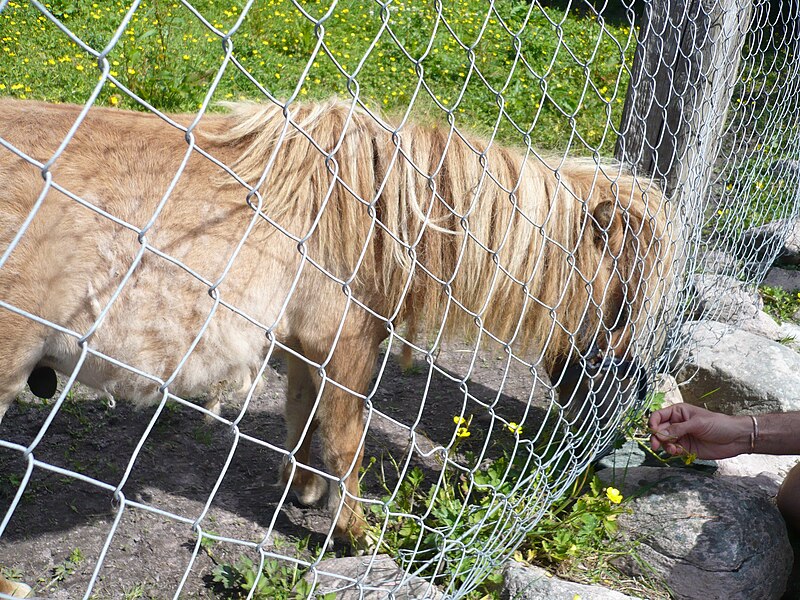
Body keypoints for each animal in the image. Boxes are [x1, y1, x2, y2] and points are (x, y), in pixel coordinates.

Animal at [0, 96, 676, 548]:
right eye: (623, 301)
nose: (632, 393)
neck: (376, 213)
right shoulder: (345, 343)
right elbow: (346, 440)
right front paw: (353, 531)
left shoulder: (305, 344)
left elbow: (304, 418)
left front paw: (300, 489)